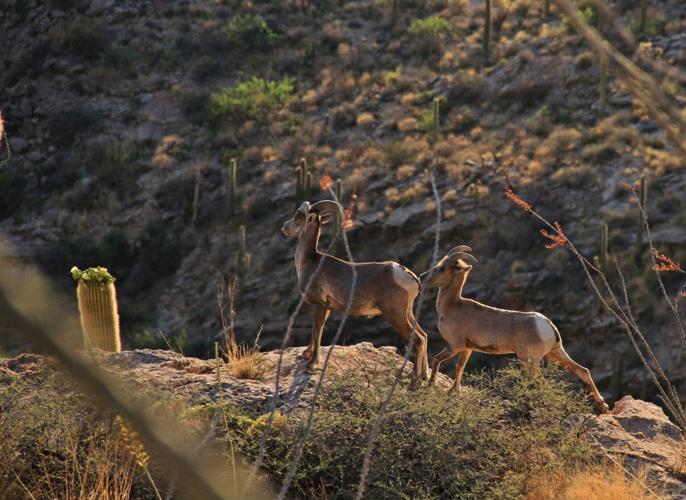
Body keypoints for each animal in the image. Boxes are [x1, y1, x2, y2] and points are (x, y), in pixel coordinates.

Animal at [281, 200, 429, 380]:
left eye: (298, 216)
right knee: (424, 336)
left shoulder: (320, 305)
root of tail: (409, 276)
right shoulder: (327, 308)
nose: (284, 227)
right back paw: (426, 377)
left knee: (418, 340)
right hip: (407, 312)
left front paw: (311, 364)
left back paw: (416, 378)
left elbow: (317, 331)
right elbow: (316, 331)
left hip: (395, 314)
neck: (309, 263)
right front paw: (306, 355)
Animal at [420, 245, 609, 412]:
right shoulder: (467, 349)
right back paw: (603, 406)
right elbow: (460, 368)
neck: (452, 307)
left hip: (529, 361)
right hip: (555, 353)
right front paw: (453, 392)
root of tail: (547, 326)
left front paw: (430, 385)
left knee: (542, 383)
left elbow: (436, 360)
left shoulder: (454, 346)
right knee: (583, 371)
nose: (422, 277)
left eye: (442, 268)